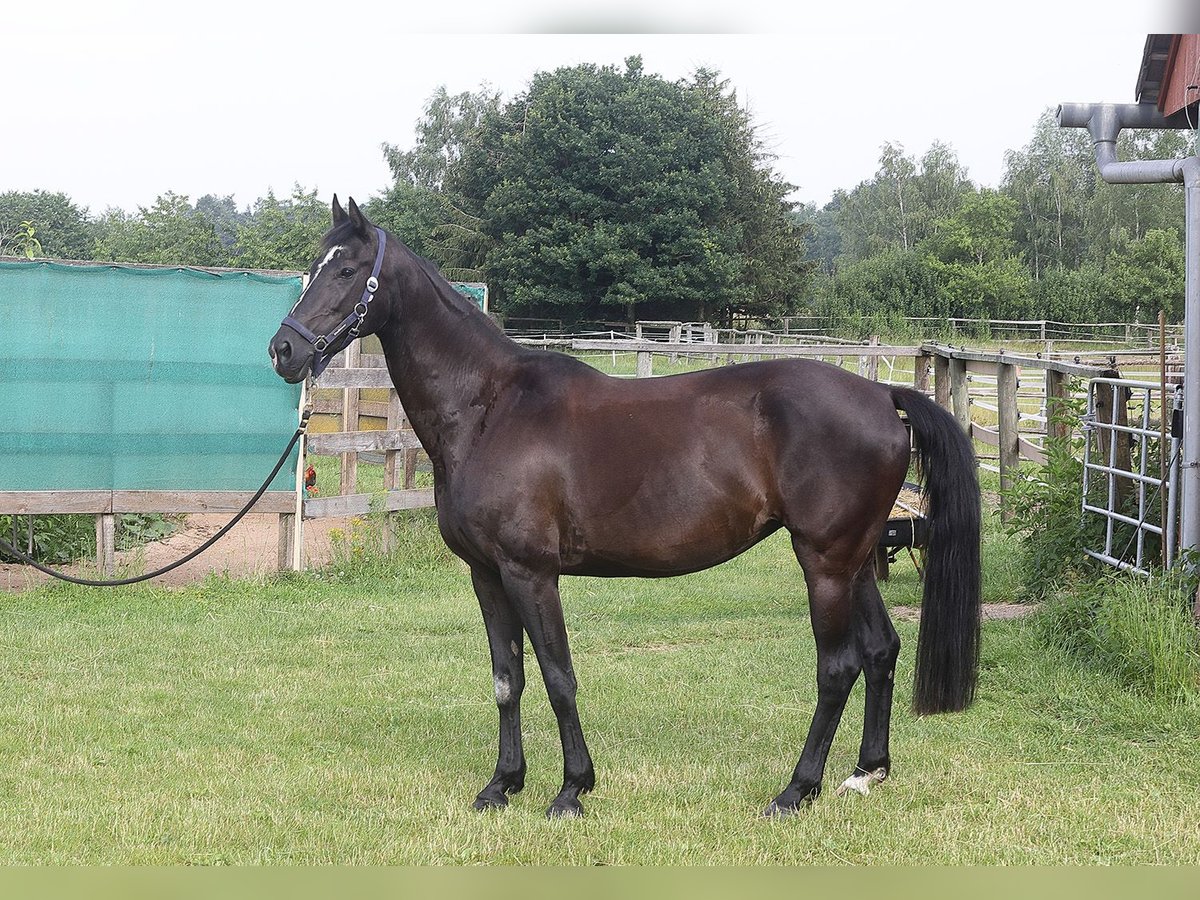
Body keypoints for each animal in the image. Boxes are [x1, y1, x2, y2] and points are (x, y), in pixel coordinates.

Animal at [267, 200, 979, 820]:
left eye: (347, 270)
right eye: (315, 262)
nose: (284, 351)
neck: (489, 407)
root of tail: (883, 396)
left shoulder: (531, 573)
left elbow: (558, 677)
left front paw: (571, 790)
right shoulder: (487, 574)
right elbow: (507, 679)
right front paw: (503, 784)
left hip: (824, 563)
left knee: (838, 668)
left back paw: (795, 791)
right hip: (855, 559)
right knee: (881, 650)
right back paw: (865, 773)